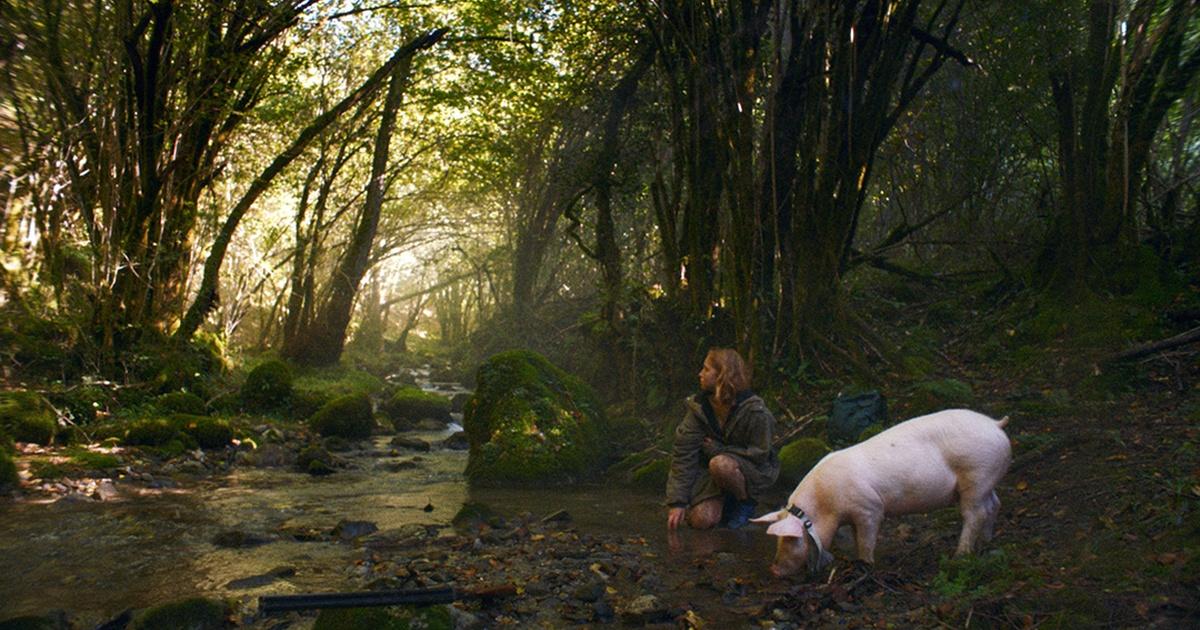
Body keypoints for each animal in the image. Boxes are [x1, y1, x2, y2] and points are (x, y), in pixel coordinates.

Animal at [752, 409, 1011, 577]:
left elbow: (866, 539)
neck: (826, 504)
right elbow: (856, 537)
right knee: (994, 505)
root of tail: (995, 425)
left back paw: (960, 555)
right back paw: (986, 542)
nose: (773, 569)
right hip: (986, 482)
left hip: (976, 476)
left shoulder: (869, 508)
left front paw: (865, 564)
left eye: (790, 538)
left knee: (974, 514)